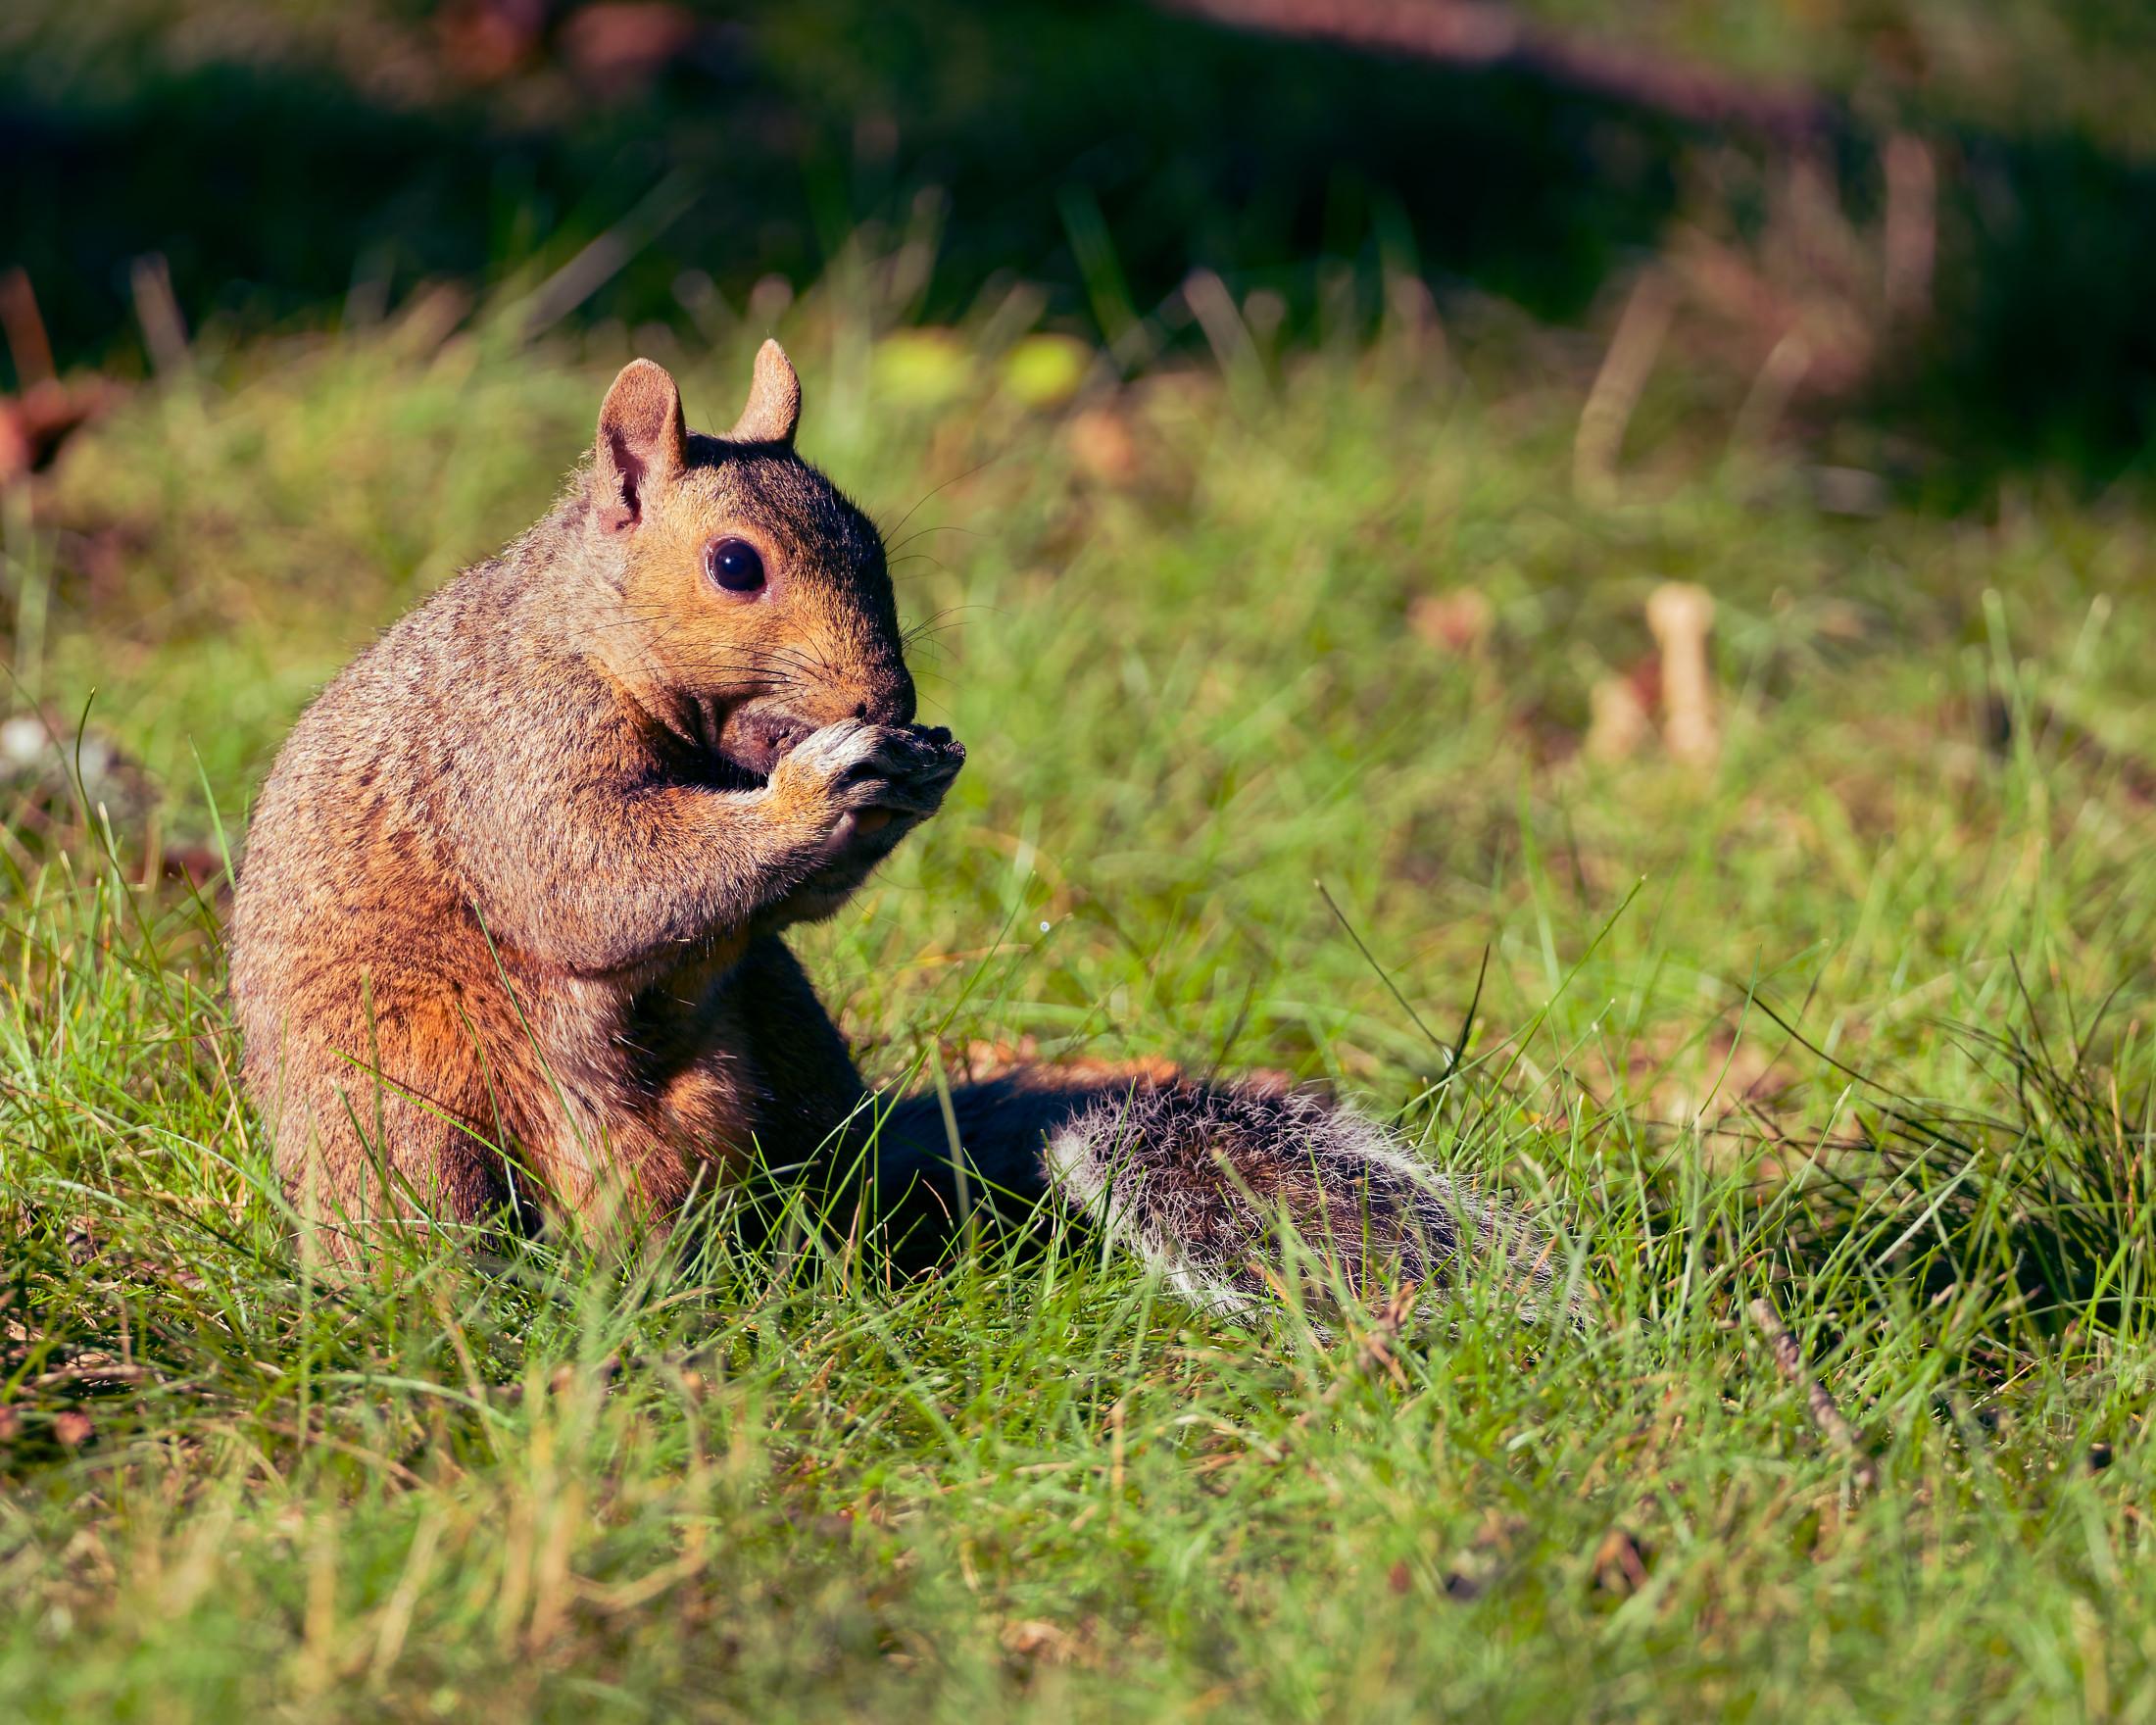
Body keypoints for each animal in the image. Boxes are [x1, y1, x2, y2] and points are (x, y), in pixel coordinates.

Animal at [229, 342, 1559, 1318]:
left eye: (873, 538)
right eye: (734, 565)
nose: (889, 698)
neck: (596, 639)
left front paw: (905, 782)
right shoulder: (511, 744)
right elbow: (590, 877)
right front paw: (822, 789)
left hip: (760, 1056)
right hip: (398, 1103)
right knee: (427, 1213)